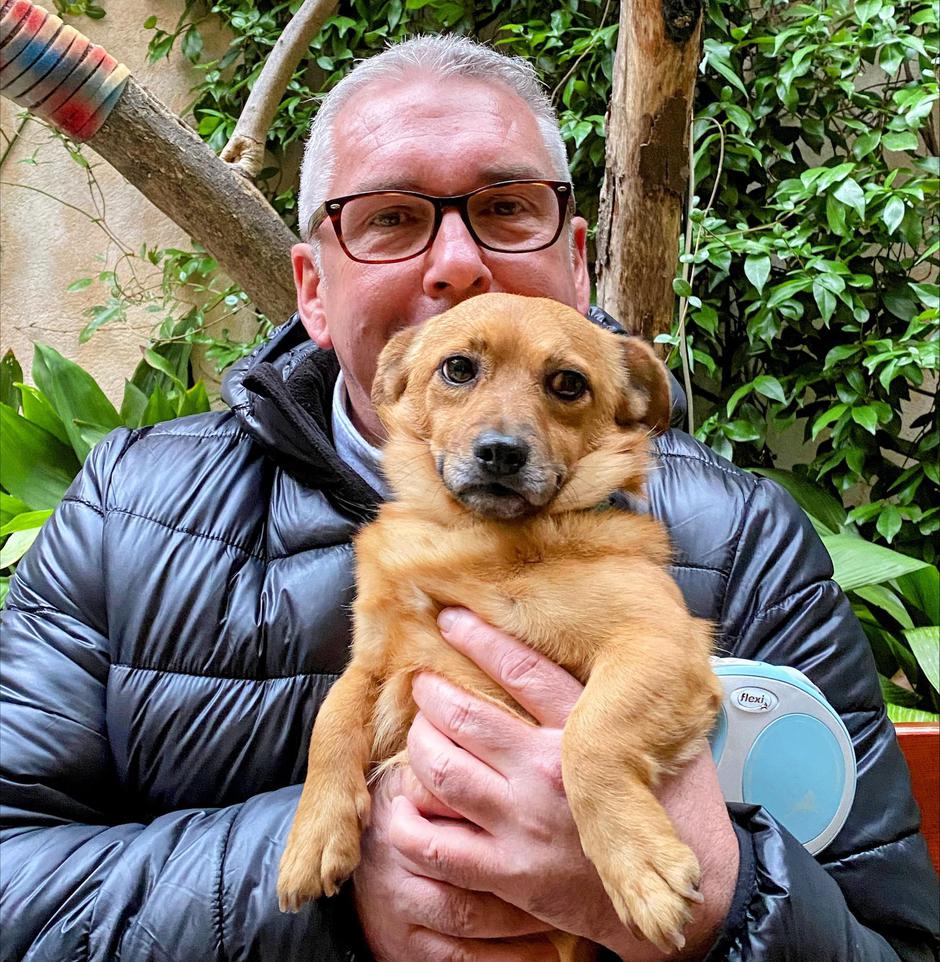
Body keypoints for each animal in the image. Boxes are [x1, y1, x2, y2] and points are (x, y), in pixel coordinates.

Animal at [277, 293, 722, 958]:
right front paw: (313, 836)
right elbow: (329, 722)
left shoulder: (662, 642)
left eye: (568, 384)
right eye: (458, 368)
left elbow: (591, 738)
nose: (502, 452)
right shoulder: (377, 656)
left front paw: (640, 866)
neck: (475, 538)